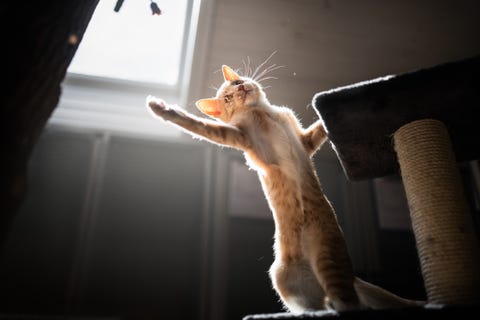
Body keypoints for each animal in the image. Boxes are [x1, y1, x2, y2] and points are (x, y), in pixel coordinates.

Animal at [145, 63, 420, 312]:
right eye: (228, 97)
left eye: (237, 83)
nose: (241, 88)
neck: (264, 112)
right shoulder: (242, 138)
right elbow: (201, 126)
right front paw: (162, 109)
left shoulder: (305, 141)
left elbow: (318, 128)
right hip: (285, 279)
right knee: (331, 304)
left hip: (328, 254)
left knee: (345, 299)